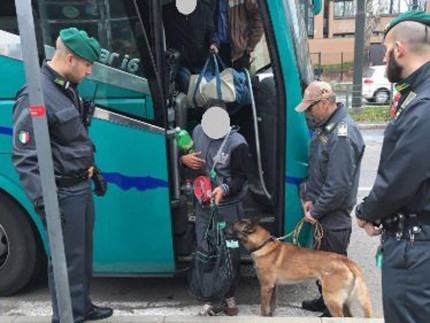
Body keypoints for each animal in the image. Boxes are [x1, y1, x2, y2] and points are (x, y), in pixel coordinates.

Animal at [233, 219, 372, 318]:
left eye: (233, 227)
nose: (226, 225)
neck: (263, 245)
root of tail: (346, 260)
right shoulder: (273, 286)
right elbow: (271, 306)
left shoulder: (265, 287)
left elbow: (263, 308)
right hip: (345, 300)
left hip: (331, 298)